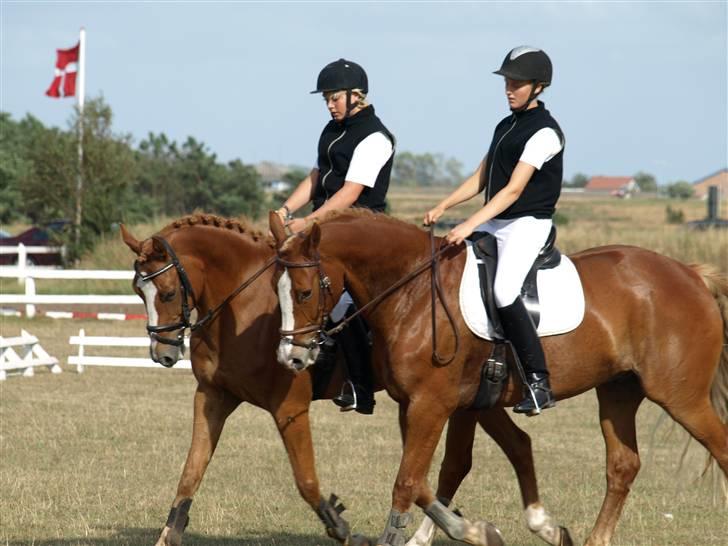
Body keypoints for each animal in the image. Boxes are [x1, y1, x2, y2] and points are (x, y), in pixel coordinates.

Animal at [121, 215, 576, 544]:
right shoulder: (213, 397)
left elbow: (306, 480)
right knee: (496, 450)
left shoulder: (289, 407)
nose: (163, 353)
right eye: (138, 291)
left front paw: (341, 528)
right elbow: (190, 473)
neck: (239, 308)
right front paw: (167, 535)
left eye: (165, 293)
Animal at [272, 208, 728, 544]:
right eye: (277, 291)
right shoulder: (428, 405)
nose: (291, 357)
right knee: (623, 465)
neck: (413, 292)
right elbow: (433, 476)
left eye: (305, 292)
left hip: (681, 398)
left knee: (718, 447)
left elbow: (409, 481)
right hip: (618, 391)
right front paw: (493, 529)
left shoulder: (432, 405)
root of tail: (690, 273)